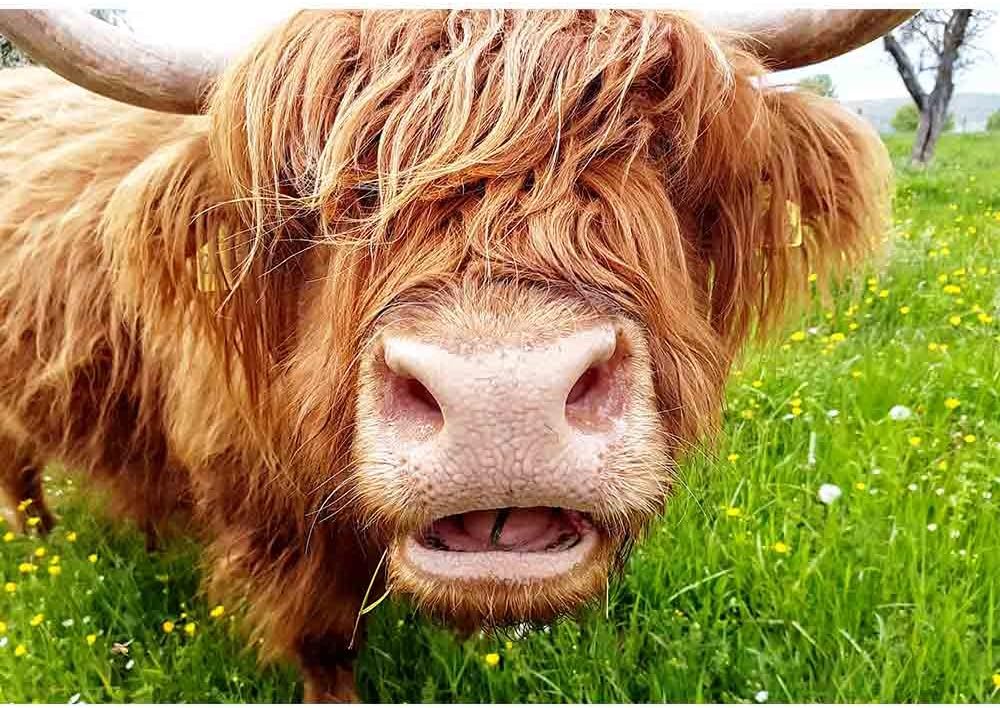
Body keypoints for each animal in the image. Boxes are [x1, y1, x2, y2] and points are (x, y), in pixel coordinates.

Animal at [0, 9, 911, 702]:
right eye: (312, 190)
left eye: (663, 155)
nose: (502, 400)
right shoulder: (274, 520)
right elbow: (325, 639)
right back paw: (43, 542)